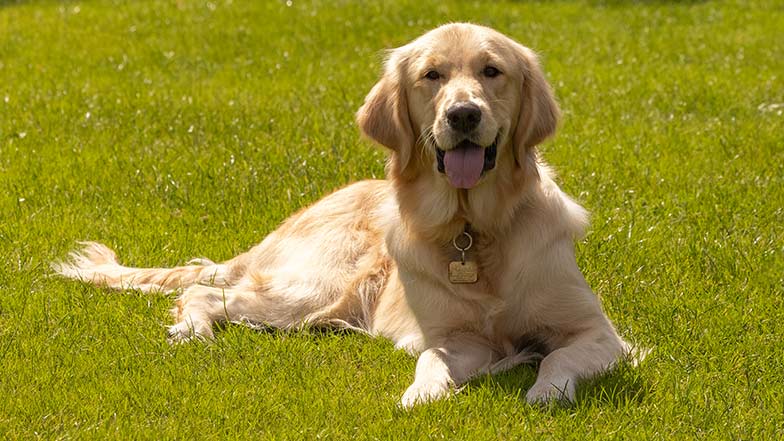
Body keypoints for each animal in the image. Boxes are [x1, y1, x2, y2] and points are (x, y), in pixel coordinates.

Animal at [55, 23, 632, 406]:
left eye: (493, 72)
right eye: (432, 76)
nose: (463, 114)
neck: (474, 229)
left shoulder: (600, 335)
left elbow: (557, 355)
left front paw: (544, 391)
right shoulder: (455, 338)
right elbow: (431, 358)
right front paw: (422, 392)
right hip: (316, 288)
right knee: (201, 291)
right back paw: (194, 332)